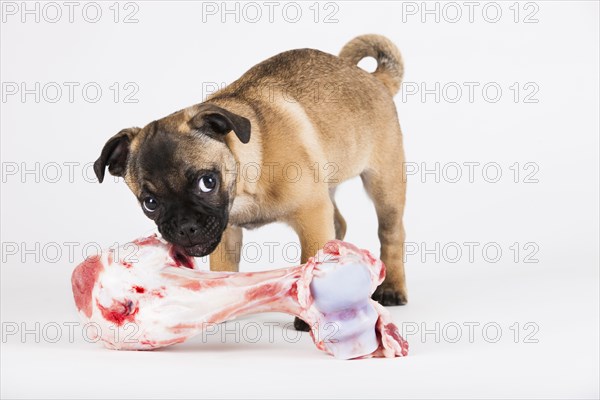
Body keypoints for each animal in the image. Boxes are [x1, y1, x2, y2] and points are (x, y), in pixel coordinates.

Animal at [95, 34, 408, 330]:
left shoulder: (311, 215)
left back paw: (392, 287)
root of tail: (373, 79)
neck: (244, 184)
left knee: (391, 232)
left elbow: (310, 261)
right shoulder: (225, 232)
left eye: (207, 182)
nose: (185, 226)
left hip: (384, 183)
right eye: (150, 203)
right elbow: (223, 269)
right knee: (339, 224)